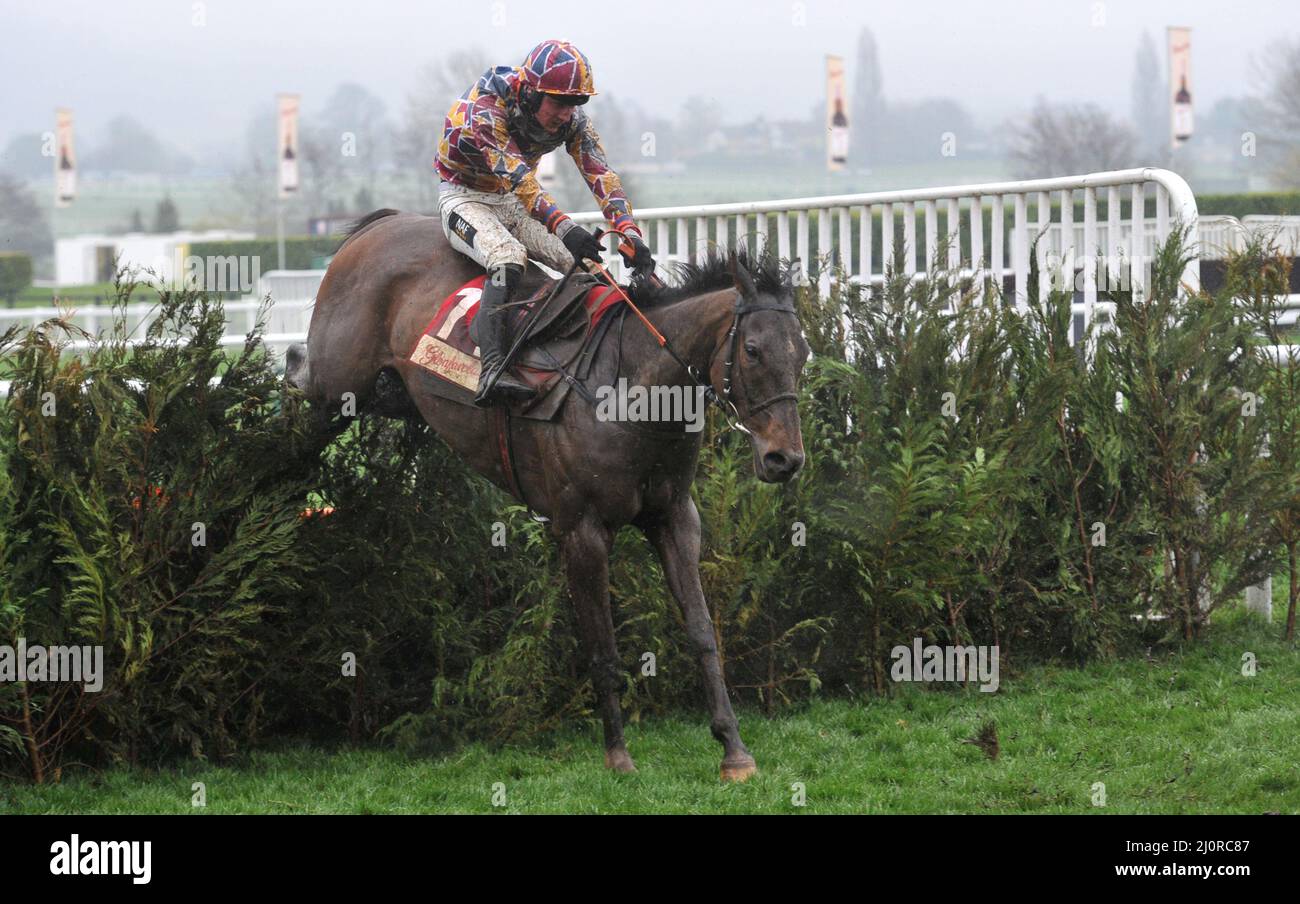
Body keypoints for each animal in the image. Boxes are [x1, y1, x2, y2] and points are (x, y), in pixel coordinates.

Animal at [289, 208, 806, 780]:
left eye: (803, 353)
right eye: (753, 351)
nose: (785, 459)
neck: (633, 386)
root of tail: (380, 224)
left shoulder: (674, 518)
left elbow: (701, 631)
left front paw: (733, 749)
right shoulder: (581, 530)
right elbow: (602, 647)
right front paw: (618, 754)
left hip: (392, 392)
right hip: (338, 380)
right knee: (296, 371)